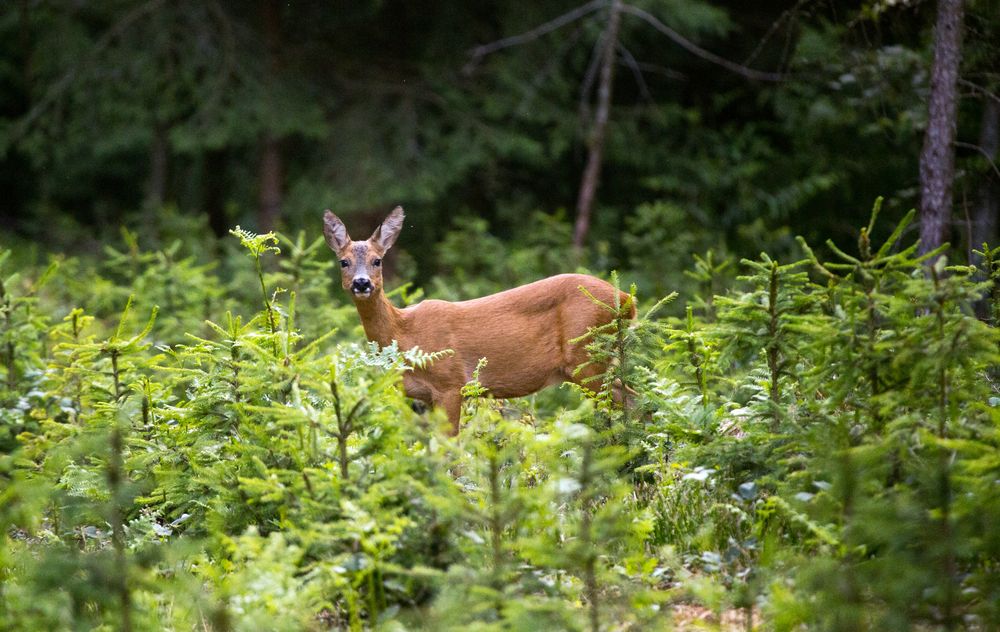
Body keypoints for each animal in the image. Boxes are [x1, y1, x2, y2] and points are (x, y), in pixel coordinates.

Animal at [324, 207, 636, 434]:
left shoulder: (450, 384)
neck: (404, 333)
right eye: (343, 262)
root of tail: (627, 300)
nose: (361, 283)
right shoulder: (421, 398)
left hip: (587, 354)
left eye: (377, 260)